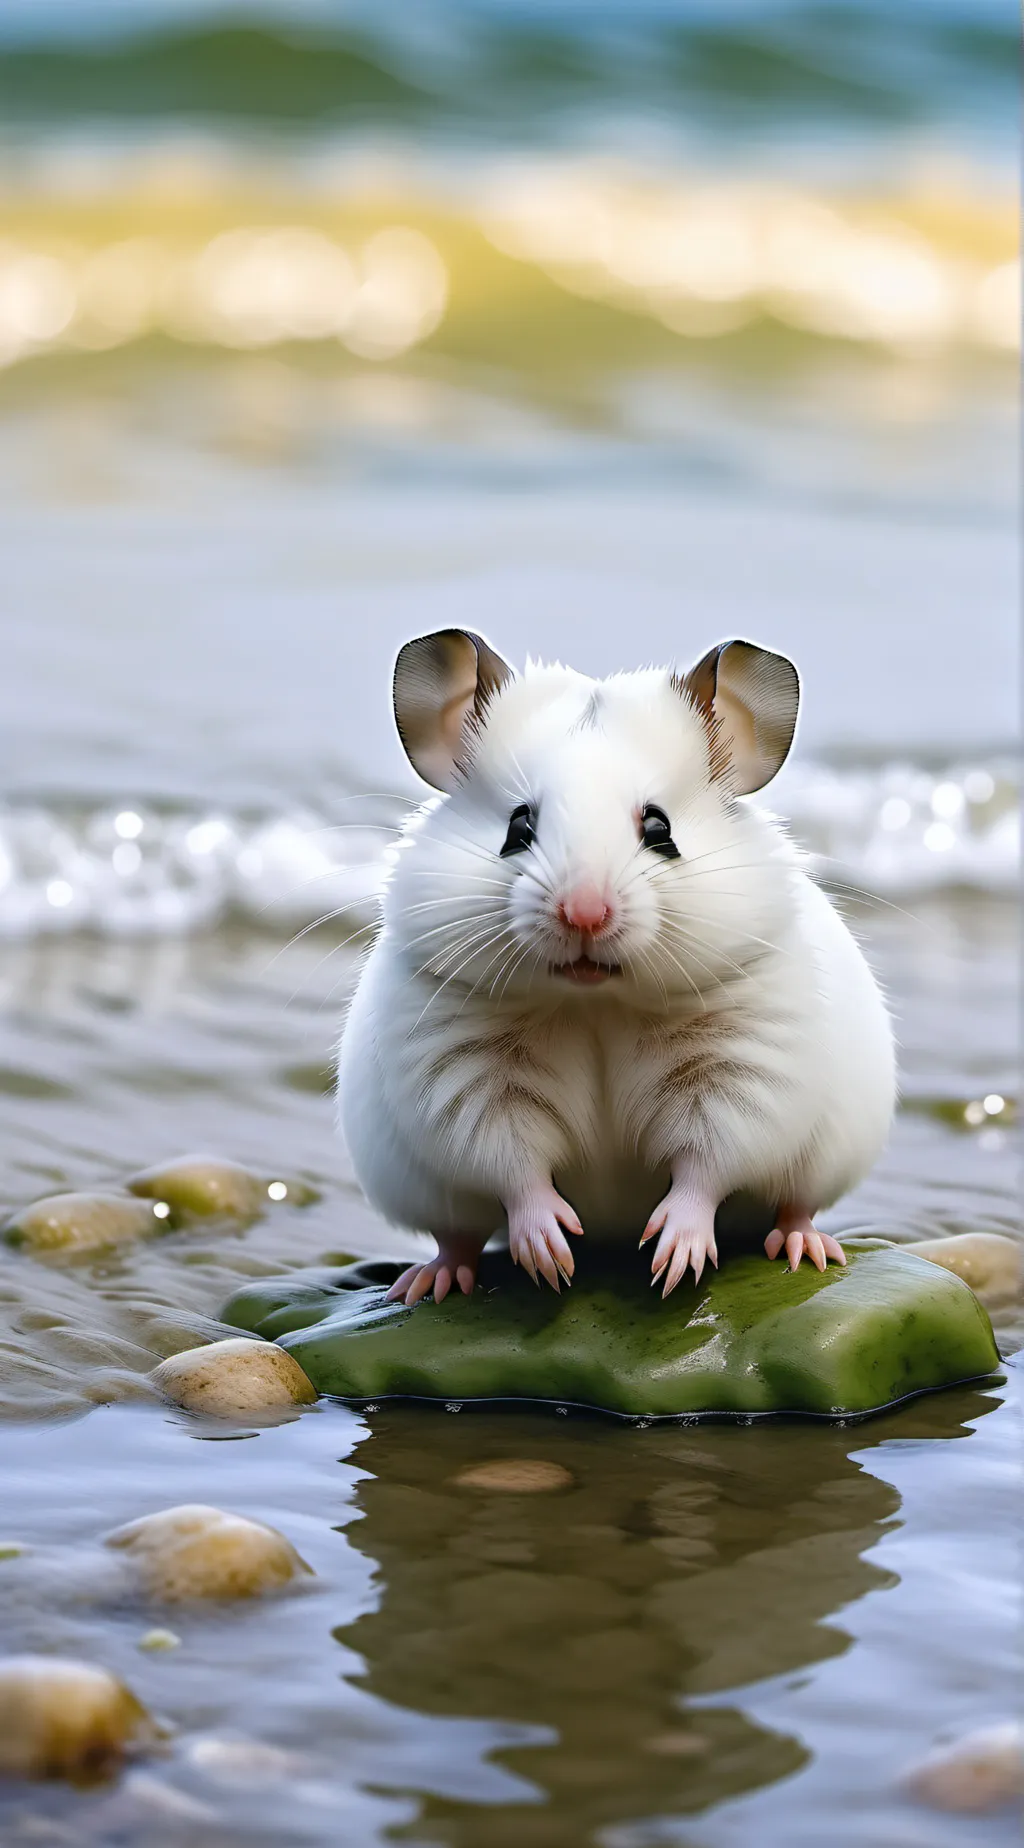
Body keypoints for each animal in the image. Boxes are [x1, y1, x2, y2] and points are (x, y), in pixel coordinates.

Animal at [337, 628, 896, 1306]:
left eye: (660, 828)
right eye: (518, 825)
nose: (584, 914)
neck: (595, 1001)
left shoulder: (740, 1077)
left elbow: (705, 1171)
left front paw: (673, 1261)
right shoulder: (469, 1082)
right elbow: (515, 1170)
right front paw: (550, 1260)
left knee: (796, 1205)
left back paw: (806, 1251)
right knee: (458, 1236)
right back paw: (429, 1282)